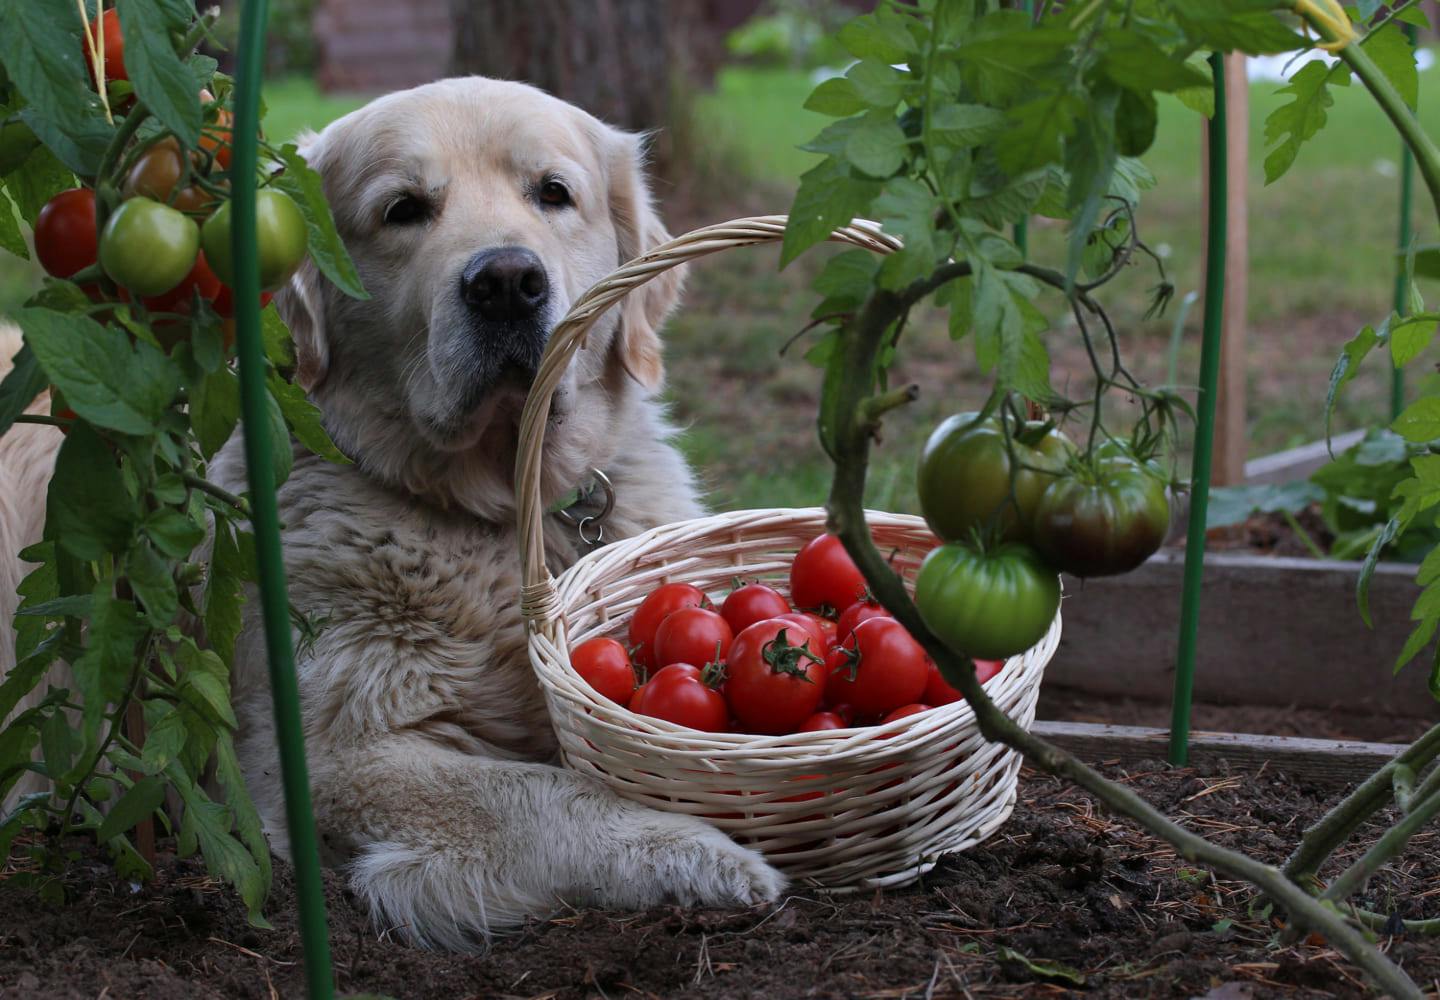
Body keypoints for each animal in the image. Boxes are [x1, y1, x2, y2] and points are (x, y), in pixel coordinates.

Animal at [2, 76, 789, 945]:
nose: (505, 282)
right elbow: (551, 790)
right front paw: (702, 850)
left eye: (553, 193)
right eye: (403, 209)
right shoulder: (329, 758)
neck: (488, 512)